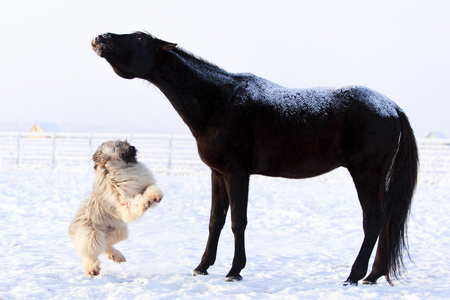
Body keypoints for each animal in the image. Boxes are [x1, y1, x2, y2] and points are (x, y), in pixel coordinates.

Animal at [68, 141, 163, 276]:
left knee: (105, 246)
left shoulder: (143, 184)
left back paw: (116, 256)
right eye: (117, 145)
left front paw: (155, 196)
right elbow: (132, 205)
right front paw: (145, 202)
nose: (133, 147)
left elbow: (150, 187)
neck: (119, 168)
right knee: (91, 252)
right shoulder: (122, 202)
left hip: (118, 231)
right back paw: (92, 268)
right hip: (91, 234)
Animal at [91, 31, 418, 286]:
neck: (218, 101)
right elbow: (215, 220)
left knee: (373, 219)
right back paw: (374, 275)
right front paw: (202, 267)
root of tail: (392, 107)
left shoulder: (237, 173)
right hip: (376, 178)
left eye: (139, 38)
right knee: (386, 220)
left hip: (365, 173)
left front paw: (235, 270)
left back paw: (355, 275)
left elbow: (239, 220)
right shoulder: (217, 174)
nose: (100, 38)